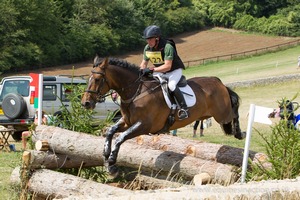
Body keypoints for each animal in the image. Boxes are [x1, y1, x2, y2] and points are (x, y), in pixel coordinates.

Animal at [81, 55, 245, 174]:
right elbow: (111, 131)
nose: (86, 103)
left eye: (97, 79)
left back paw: (240, 133)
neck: (135, 92)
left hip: (222, 114)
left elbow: (120, 138)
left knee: (234, 112)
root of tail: (218, 81)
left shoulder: (144, 126)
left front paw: (112, 163)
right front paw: (105, 155)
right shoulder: (128, 122)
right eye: (88, 79)